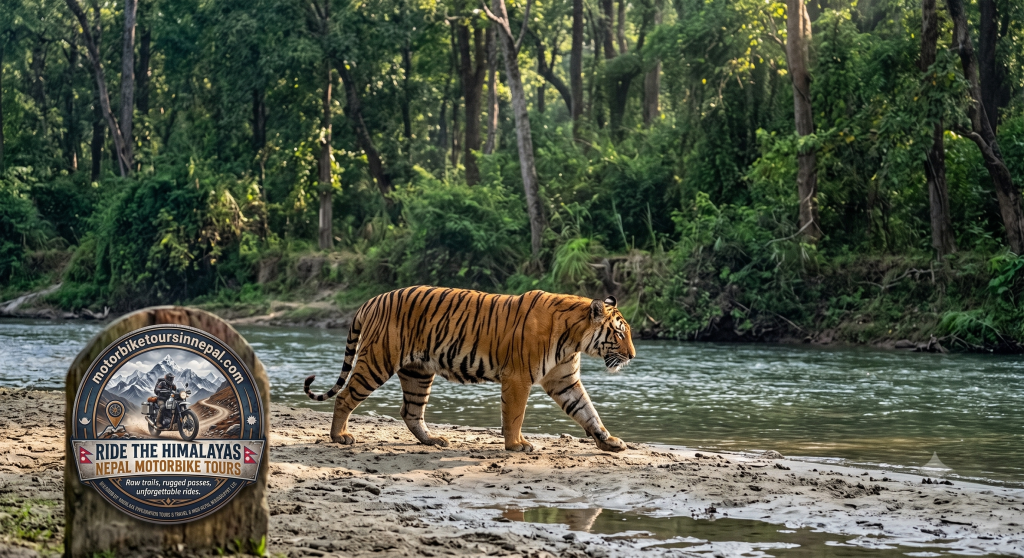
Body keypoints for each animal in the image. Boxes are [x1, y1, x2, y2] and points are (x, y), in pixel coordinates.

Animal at [303, 286, 636, 452]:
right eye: (620, 334)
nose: (633, 356)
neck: (574, 338)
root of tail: (372, 300)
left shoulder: (564, 380)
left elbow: (588, 412)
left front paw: (609, 442)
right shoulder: (518, 378)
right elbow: (515, 416)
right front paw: (516, 445)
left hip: (418, 372)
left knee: (410, 411)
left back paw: (433, 441)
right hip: (377, 361)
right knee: (345, 396)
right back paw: (339, 437)